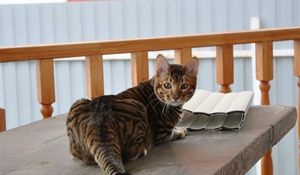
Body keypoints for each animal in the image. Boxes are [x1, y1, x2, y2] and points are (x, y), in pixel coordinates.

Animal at [66, 54, 199, 174]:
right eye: (167, 85)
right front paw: (181, 130)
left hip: (78, 103)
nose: (175, 97)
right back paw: (143, 149)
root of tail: (100, 121)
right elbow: (174, 133)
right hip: (139, 108)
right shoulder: (162, 134)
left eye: (184, 86)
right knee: (130, 154)